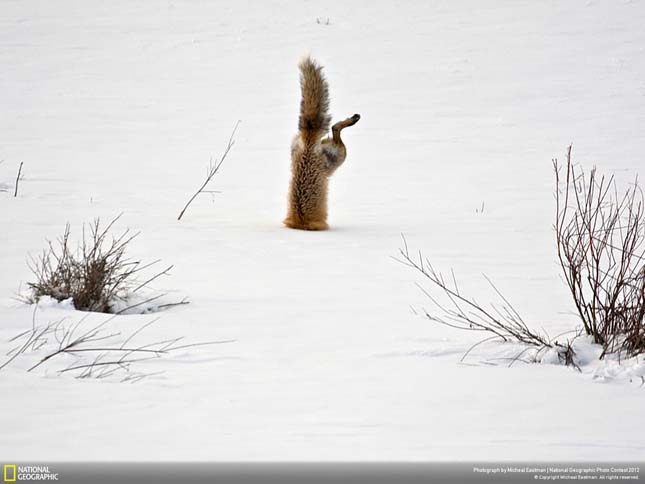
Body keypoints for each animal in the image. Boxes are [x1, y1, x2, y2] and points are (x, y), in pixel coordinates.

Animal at [284, 56, 360, 231]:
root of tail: (308, 141)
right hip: (339, 157)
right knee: (335, 128)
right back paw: (352, 119)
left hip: (337, 156)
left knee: (335, 128)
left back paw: (352, 119)